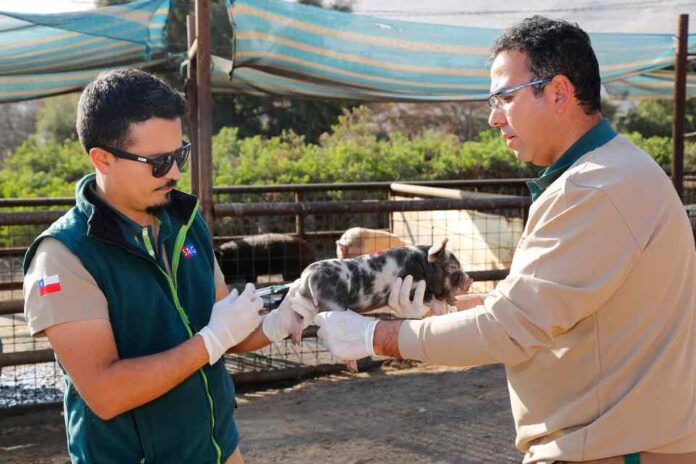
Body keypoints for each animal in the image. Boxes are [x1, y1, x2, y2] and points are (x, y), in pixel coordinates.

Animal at [290, 239, 476, 340]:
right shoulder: (414, 287)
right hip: (331, 302)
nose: (470, 279)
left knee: (298, 319)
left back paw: (296, 339)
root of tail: (308, 275)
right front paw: (441, 310)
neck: (422, 264)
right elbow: (431, 298)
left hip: (307, 301)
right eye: (452, 267)